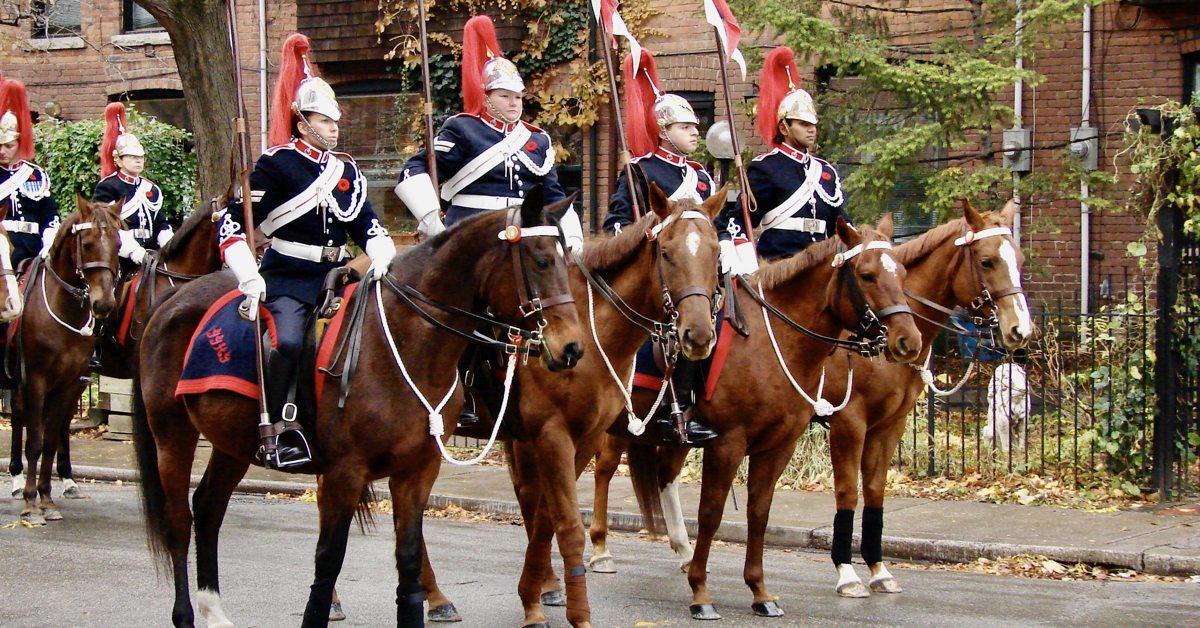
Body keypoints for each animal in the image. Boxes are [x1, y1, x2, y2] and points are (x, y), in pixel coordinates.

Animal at [2, 199, 120, 523]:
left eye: (118, 244)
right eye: (88, 244)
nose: (104, 304)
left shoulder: (66, 384)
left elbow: (50, 440)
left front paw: (46, 499)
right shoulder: (36, 381)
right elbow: (35, 442)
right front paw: (31, 505)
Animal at [133, 189, 583, 628]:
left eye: (567, 259)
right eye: (542, 260)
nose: (572, 349)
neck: (403, 343)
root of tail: (174, 296)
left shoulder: (417, 470)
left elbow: (408, 558)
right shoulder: (344, 473)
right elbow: (328, 560)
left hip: (233, 444)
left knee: (208, 509)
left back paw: (214, 611)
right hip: (172, 434)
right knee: (179, 521)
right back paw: (186, 615)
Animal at [588, 216, 916, 619]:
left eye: (902, 272)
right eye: (867, 275)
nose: (909, 340)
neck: (772, 341)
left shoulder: (778, 447)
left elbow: (759, 514)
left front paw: (759, 591)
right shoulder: (728, 443)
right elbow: (711, 513)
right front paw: (701, 593)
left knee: (662, 476)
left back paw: (680, 551)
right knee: (602, 470)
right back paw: (600, 551)